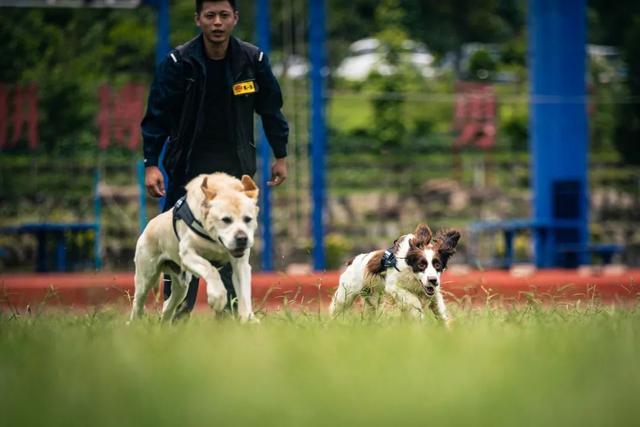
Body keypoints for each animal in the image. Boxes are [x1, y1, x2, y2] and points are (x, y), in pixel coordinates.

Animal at [130, 172, 260, 322]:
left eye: (248, 219)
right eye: (226, 220)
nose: (242, 239)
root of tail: (148, 226)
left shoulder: (240, 263)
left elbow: (244, 292)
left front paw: (248, 320)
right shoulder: (187, 254)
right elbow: (211, 269)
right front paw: (217, 298)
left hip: (181, 286)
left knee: (168, 306)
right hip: (146, 276)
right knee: (138, 303)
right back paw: (135, 323)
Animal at [330, 224, 460, 324]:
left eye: (437, 265)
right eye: (421, 265)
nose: (433, 280)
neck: (412, 274)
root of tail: (352, 260)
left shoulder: (434, 292)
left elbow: (440, 311)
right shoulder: (393, 287)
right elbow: (414, 301)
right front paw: (419, 319)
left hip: (372, 298)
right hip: (346, 293)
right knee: (335, 308)